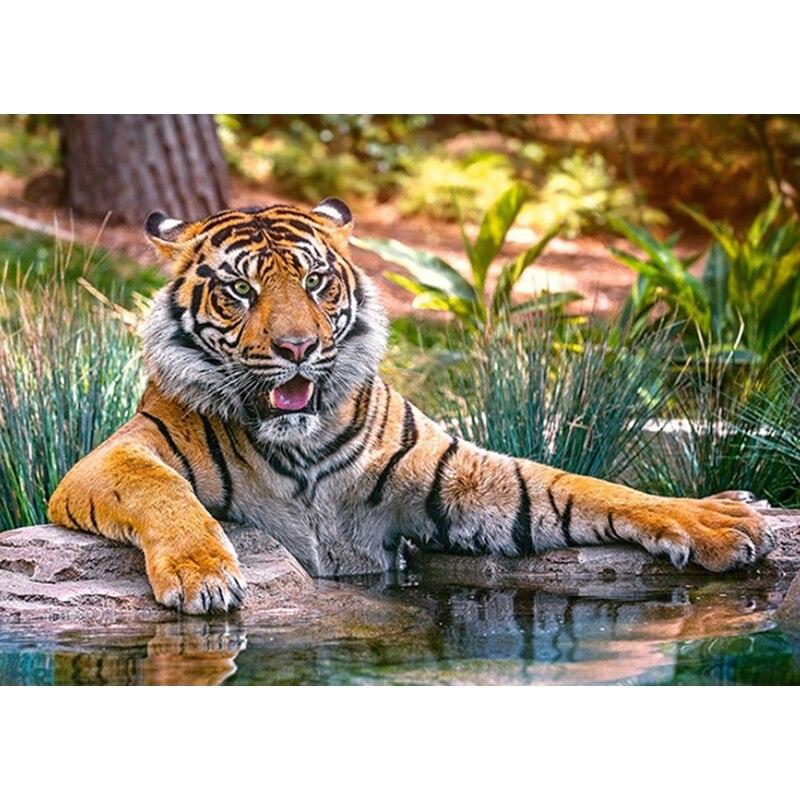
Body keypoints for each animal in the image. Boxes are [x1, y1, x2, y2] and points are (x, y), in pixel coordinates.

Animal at [47, 198, 776, 615]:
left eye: (315, 280)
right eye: (240, 290)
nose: (297, 347)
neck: (299, 443)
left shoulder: (456, 478)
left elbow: (582, 486)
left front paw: (719, 518)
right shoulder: (113, 455)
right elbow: (159, 488)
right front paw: (204, 575)